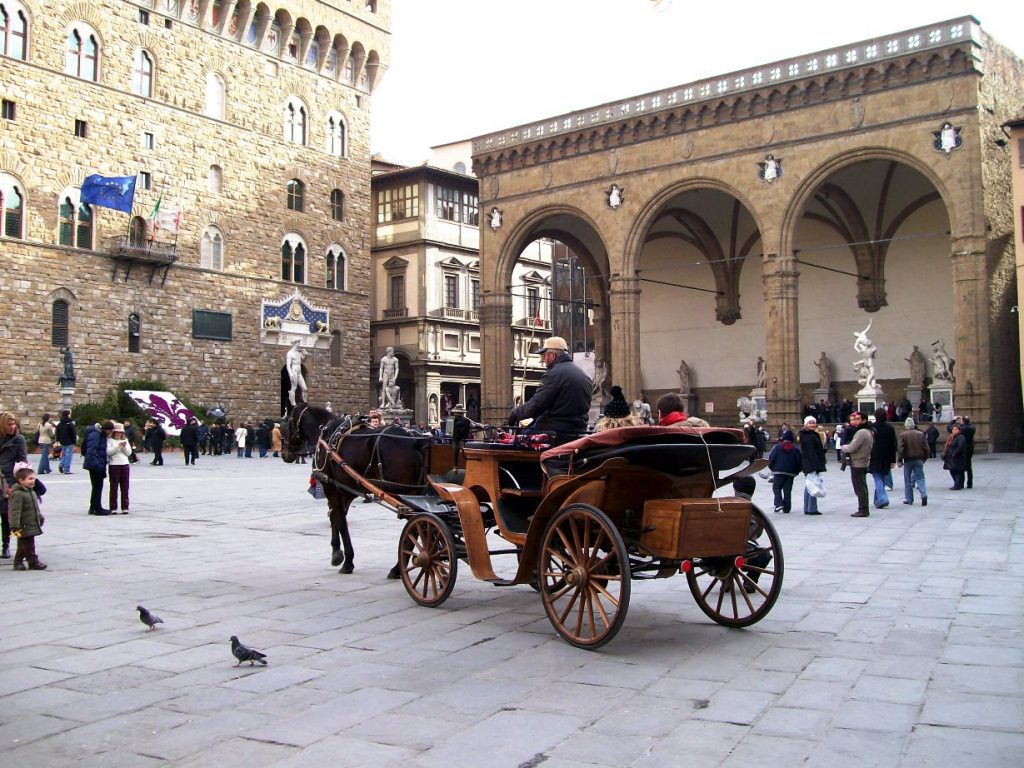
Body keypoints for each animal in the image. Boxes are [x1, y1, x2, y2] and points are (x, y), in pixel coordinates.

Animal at [280, 403, 432, 577]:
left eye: (288, 422)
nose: (285, 453)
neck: (326, 433)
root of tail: (415, 440)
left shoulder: (330, 486)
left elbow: (339, 518)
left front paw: (344, 559)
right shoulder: (346, 489)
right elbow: (336, 516)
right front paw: (338, 553)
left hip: (402, 493)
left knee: (415, 528)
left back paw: (400, 568)